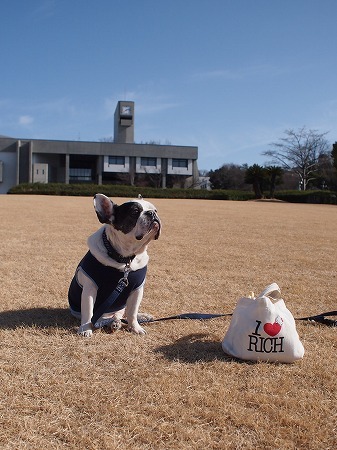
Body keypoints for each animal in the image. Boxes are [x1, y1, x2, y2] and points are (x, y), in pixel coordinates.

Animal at [68, 193, 160, 338]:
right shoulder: (90, 288)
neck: (124, 258)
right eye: (135, 212)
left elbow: (133, 311)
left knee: (124, 314)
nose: (152, 213)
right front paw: (85, 329)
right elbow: (88, 311)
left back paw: (138, 318)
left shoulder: (137, 289)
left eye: (155, 210)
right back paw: (113, 323)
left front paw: (135, 328)